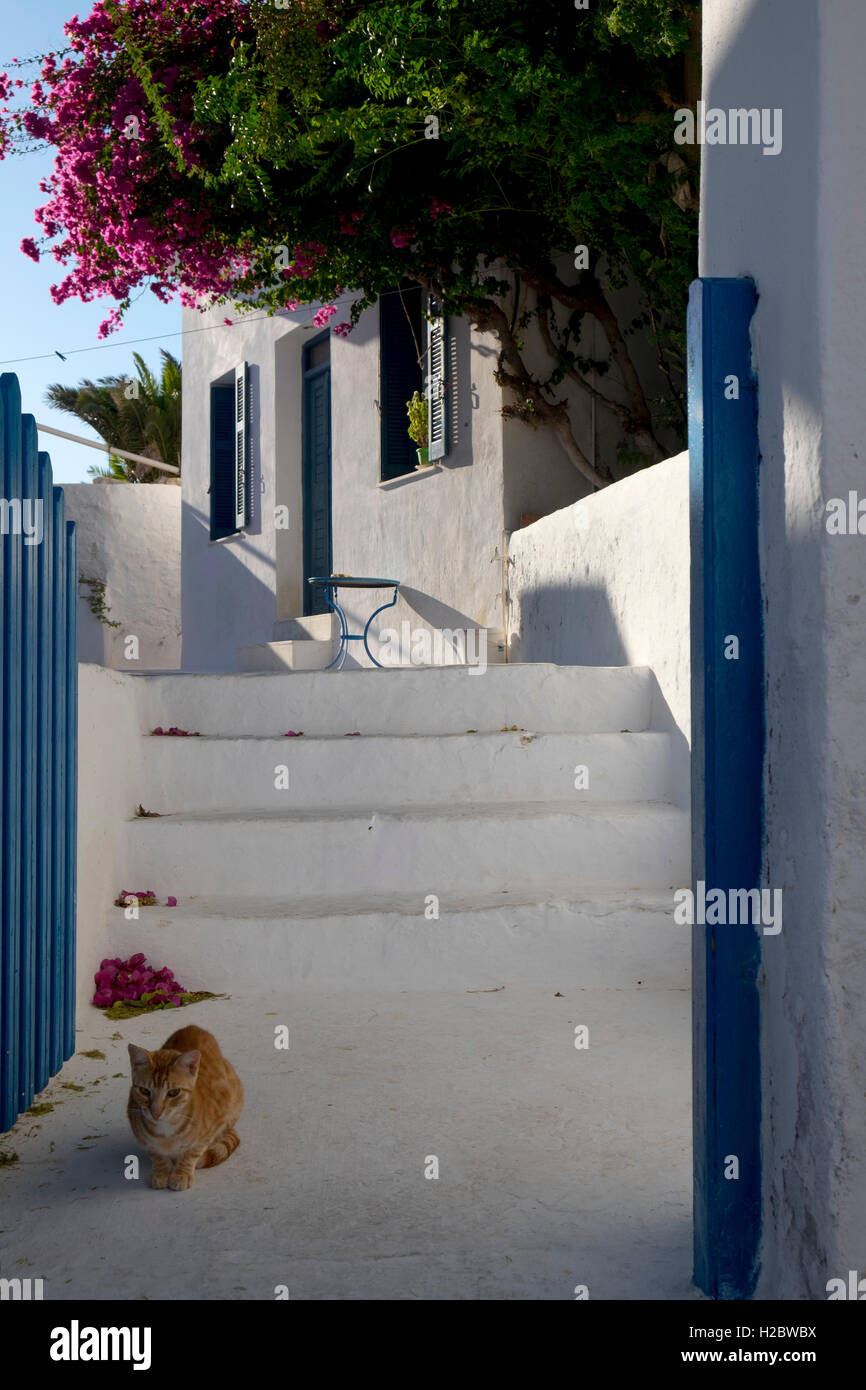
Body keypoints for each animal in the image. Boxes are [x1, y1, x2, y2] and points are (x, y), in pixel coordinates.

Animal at [125, 1028, 241, 1189]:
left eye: (174, 1092)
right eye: (144, 1091)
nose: (156, 1112)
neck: (166, 1133)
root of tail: (194, 1027)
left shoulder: (215, 1122)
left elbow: (192, 1152)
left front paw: (182, 1174)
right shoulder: (142, 1135)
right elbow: (156, 1154)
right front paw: (161, 1172)